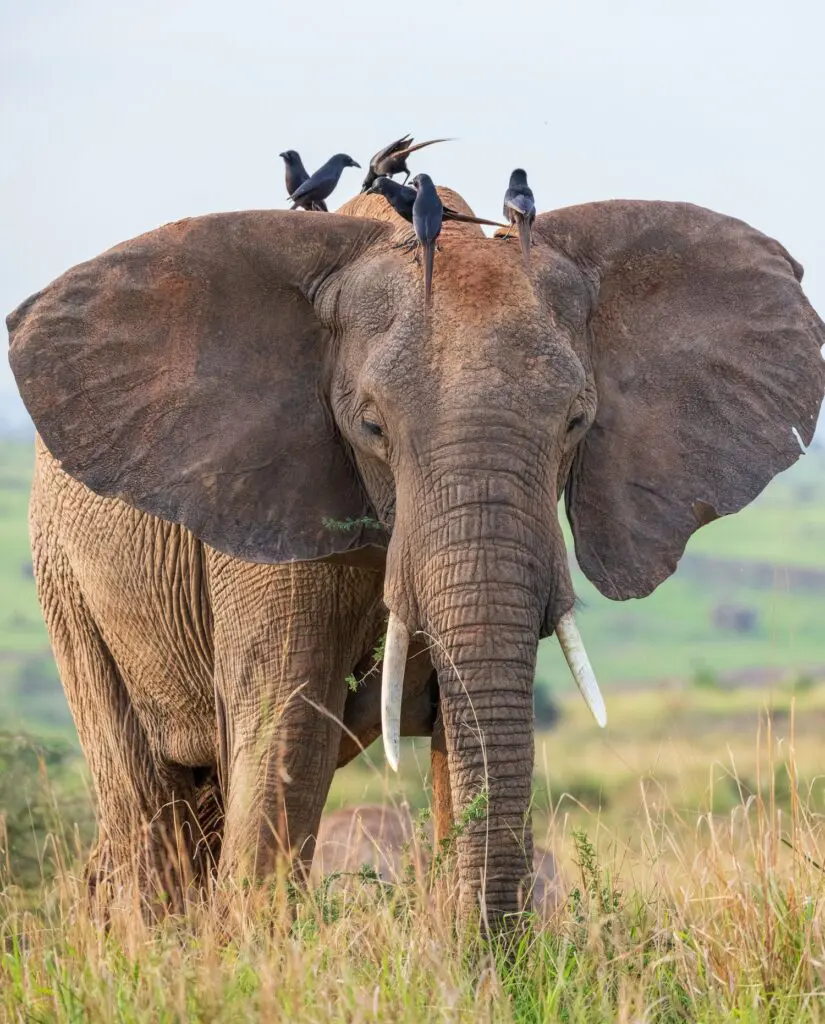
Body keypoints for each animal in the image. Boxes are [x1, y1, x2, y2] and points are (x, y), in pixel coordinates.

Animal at [8, 184, 825, 929]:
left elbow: (452, 736)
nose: (496, 953)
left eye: (576, 421)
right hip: (64, 576)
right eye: (371, 426)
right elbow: (288, 723)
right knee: (149, 801)